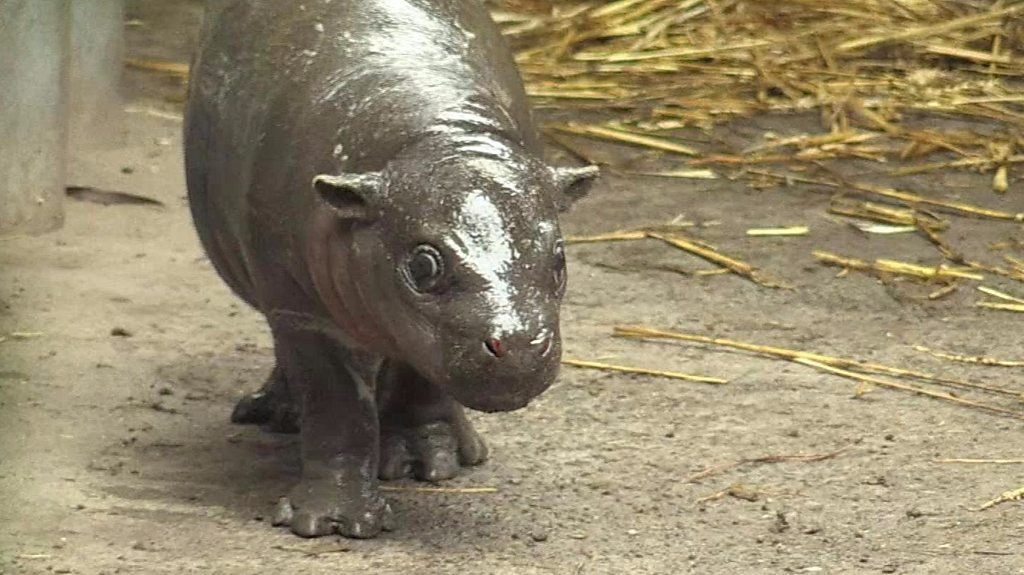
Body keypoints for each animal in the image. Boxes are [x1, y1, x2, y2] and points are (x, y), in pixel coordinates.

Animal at [184, 0, 597, 538]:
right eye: (423, 265)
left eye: (559, 256)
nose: (522, 345)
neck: (436, 140)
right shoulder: (302, 312)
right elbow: (337, 405)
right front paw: (330, 522)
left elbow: (421, 379)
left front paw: (431, 464)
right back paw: (275, 414)